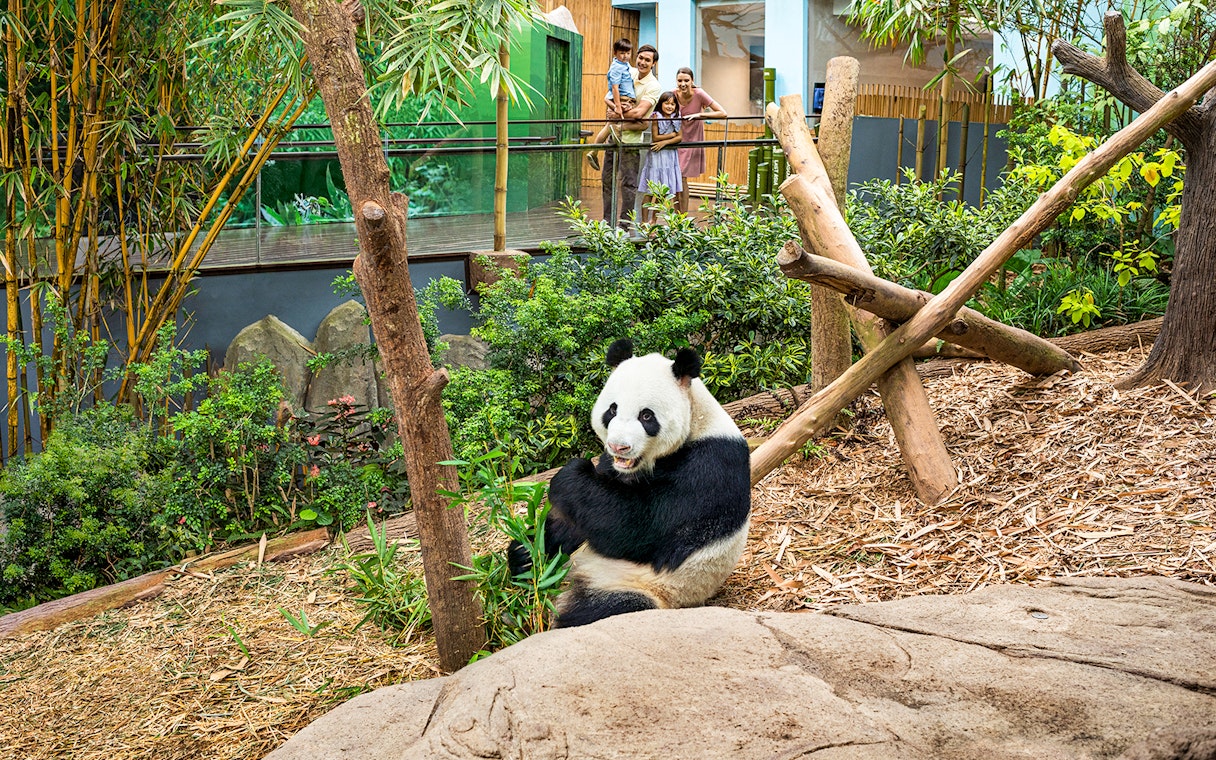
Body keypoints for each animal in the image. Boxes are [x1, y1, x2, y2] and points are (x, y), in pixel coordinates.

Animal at [510, 339, 751, 628]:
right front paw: (527, 551)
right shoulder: (612, 466)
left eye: (646, 416)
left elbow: (639, 527)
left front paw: (570, 476)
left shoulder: (710, 466)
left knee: (600, 611)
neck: (698, 420)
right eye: (612, 409)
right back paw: (523, 559)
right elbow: (581, 519)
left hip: (641, 586)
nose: (619, 447)